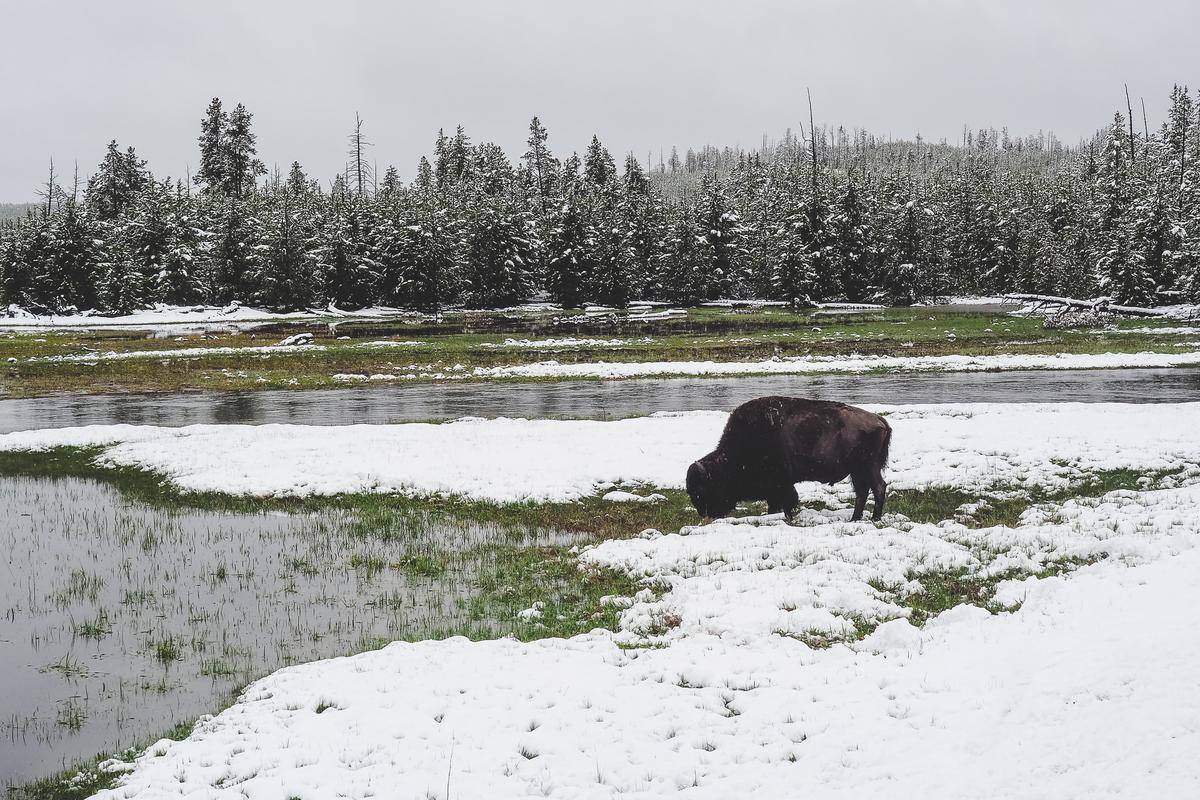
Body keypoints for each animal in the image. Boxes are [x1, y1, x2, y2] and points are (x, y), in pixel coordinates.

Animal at [686, 396, 891, 521]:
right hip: (857, 471)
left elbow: (786, 502)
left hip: (867, 467)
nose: (706, 514)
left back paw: (874, 518)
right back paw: (855, 518)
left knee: (878, 488)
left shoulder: (780, 486)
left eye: (702, 490)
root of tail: (879, 420)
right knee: (862, 492)